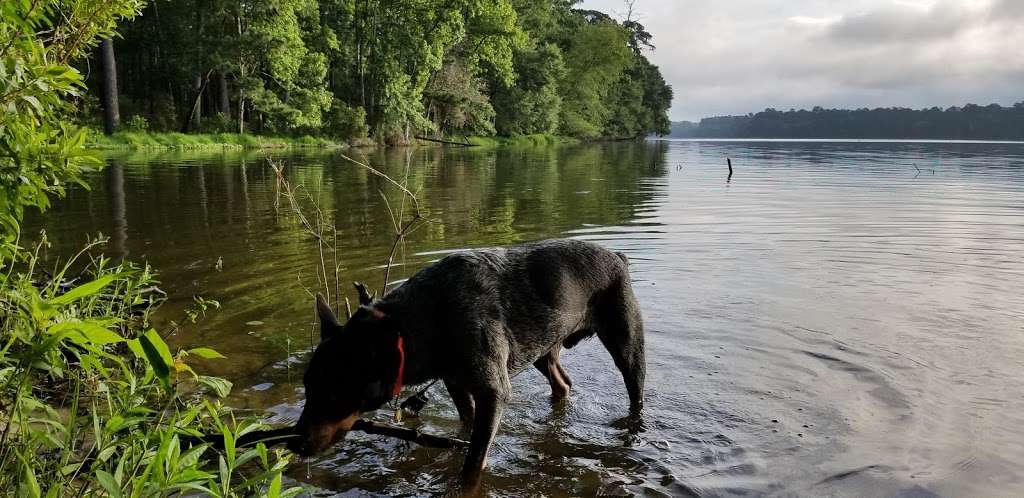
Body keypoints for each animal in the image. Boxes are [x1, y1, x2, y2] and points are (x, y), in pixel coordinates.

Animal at [284, 238, 643, 489]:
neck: (420, 326)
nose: (293, 443)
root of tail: (618, 257)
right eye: (307, 387)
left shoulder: (493, 392)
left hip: (626, 342)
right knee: (563, 383)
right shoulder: (456, 383)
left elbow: (472, 465)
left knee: (634, 390)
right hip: (542, 348)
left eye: (334, 394)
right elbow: (466, 428)